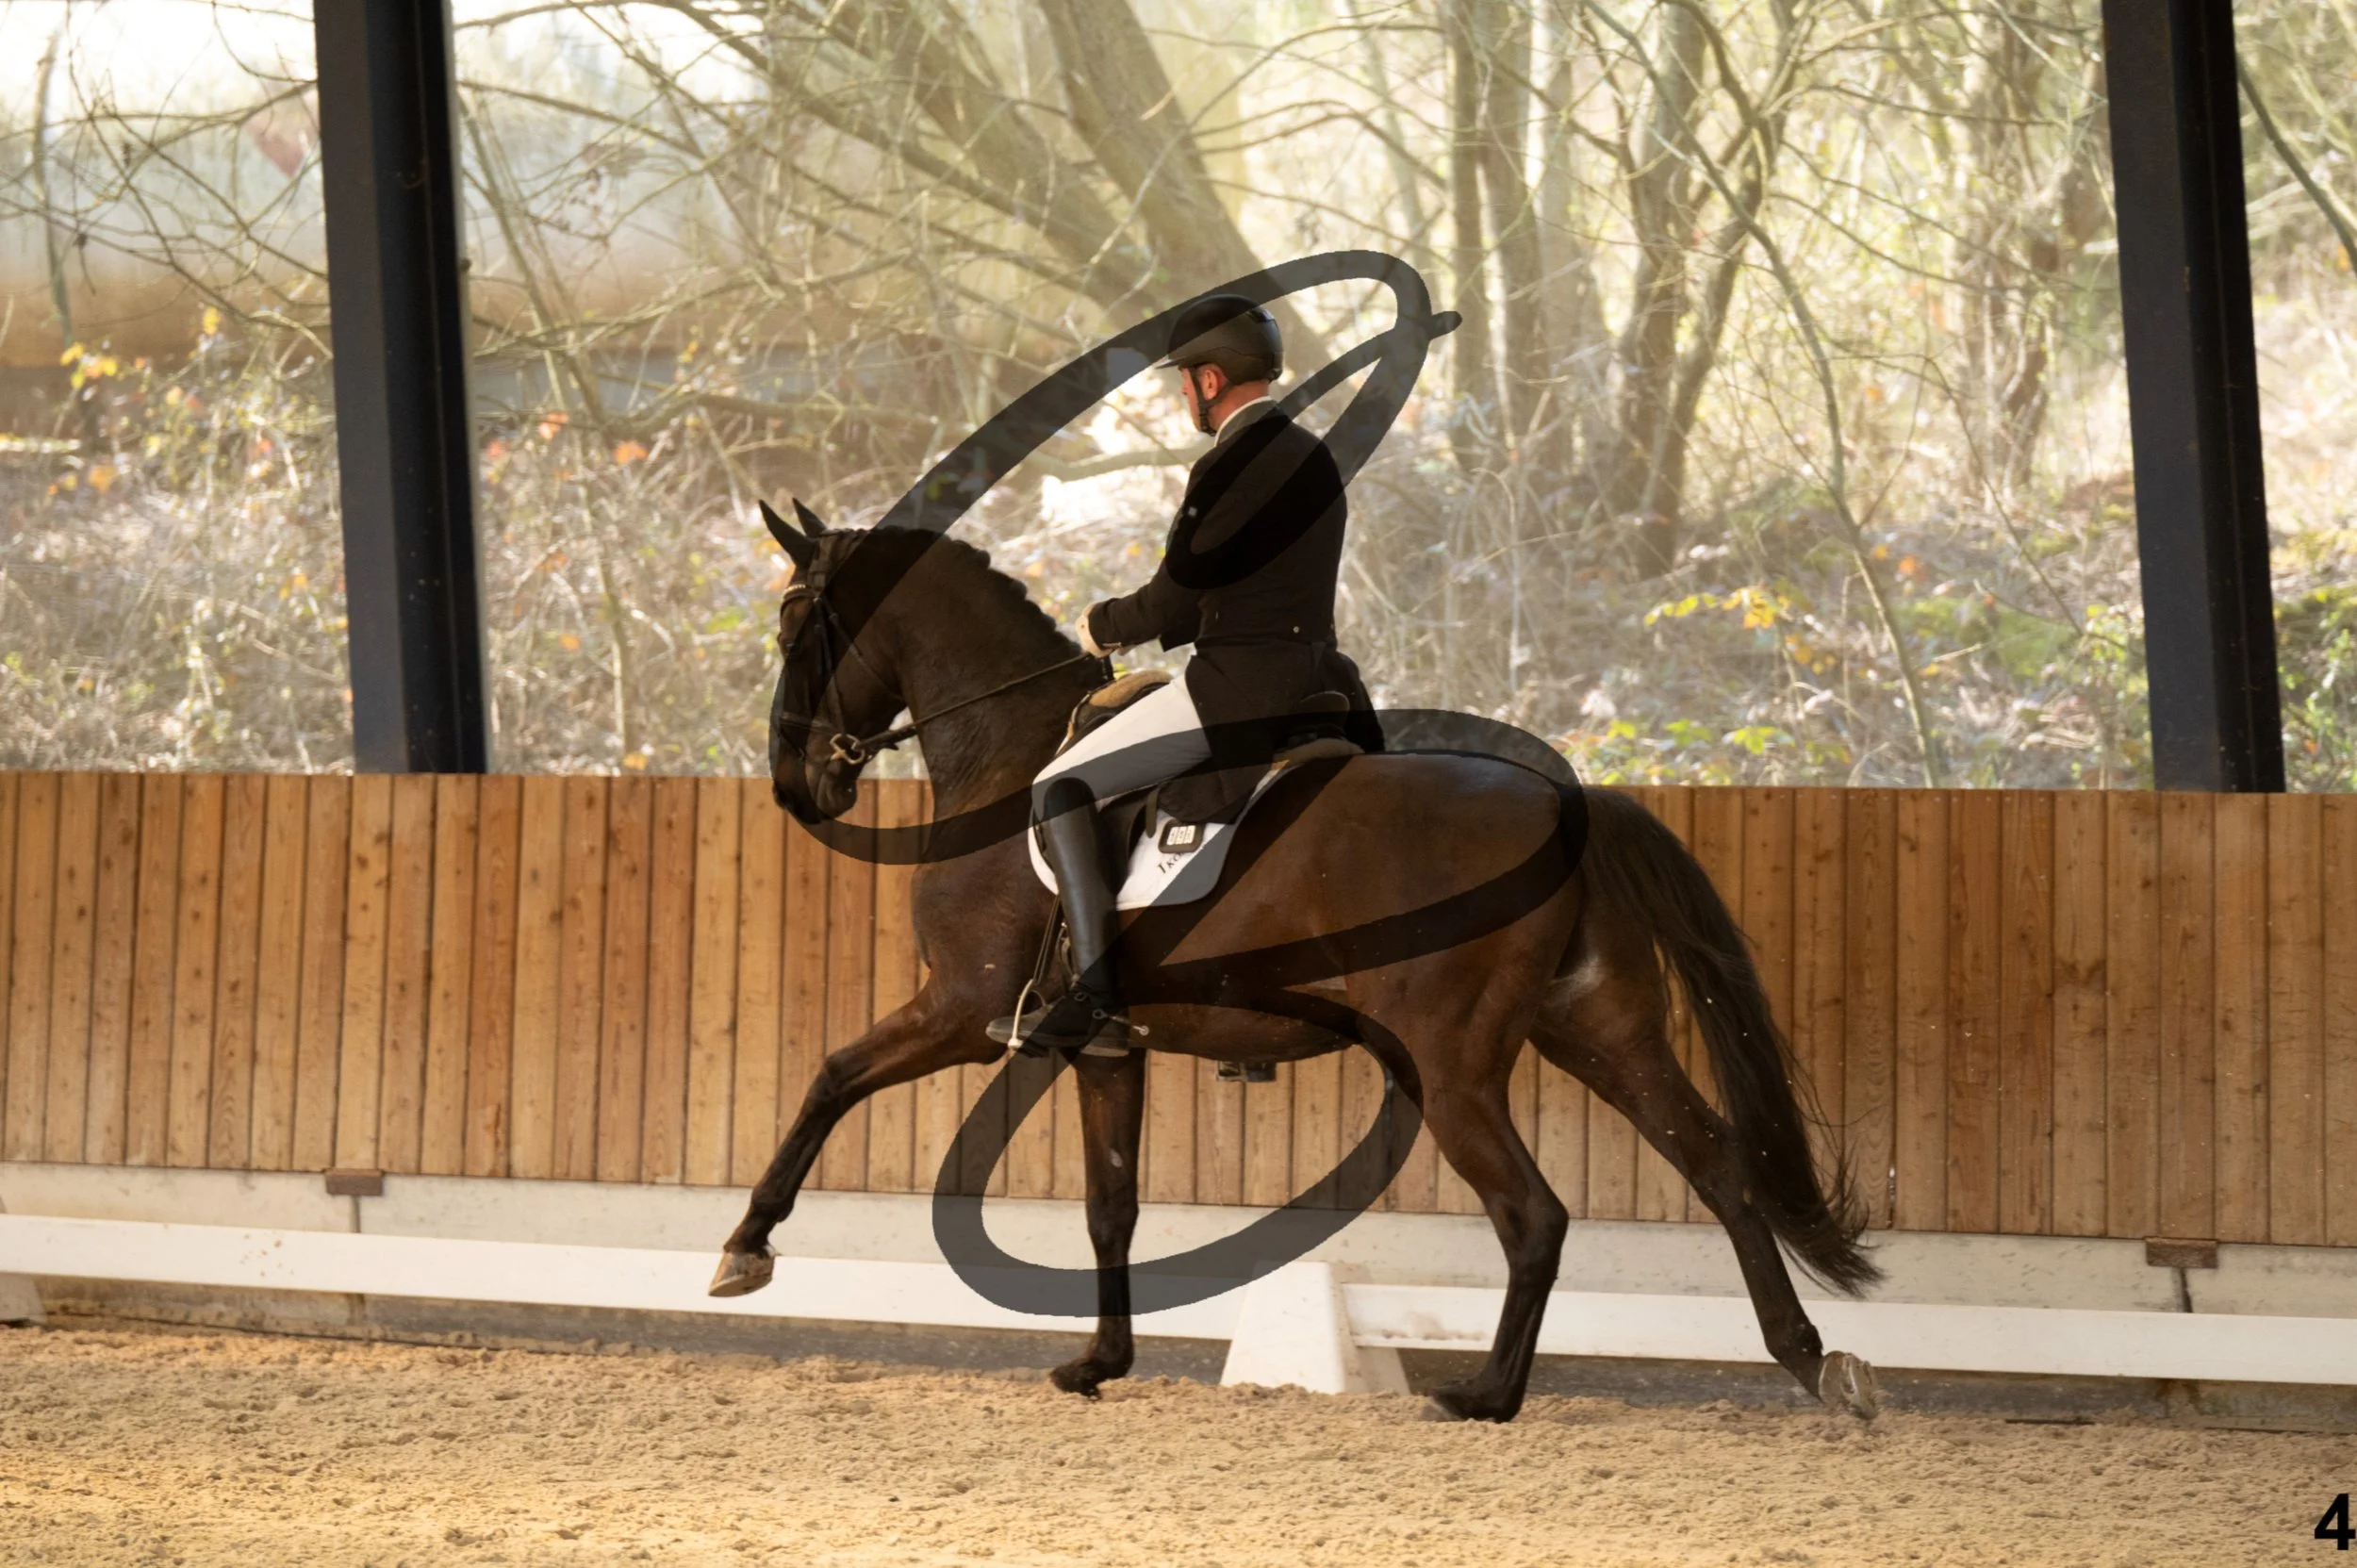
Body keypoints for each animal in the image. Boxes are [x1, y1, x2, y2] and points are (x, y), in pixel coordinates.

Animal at [708, 503, 1885, 1424]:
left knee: (1536, 1213)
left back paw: (1486, 1394)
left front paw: (747, 1247)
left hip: (1451, 1067)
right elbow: (1109, 1204)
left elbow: (830, 1077)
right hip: (1600, 1031)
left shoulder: (962, 1008)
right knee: (1721, 1166)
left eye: (794, 621)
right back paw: (1809, 1359)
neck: (1011, 751)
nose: (793, 785)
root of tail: (1564, 802)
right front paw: (1100, 1360)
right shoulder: (1105, 1049)